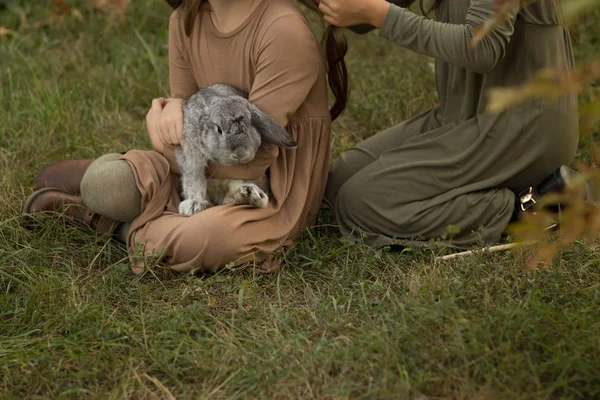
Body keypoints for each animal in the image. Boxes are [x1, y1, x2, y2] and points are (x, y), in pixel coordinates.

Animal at [175, 83, 296, 217]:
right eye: (219, 129)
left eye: (250, 124)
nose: (240, 153)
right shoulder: (191, 156)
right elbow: (194, 179)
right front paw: (194, 204)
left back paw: (252, 194)